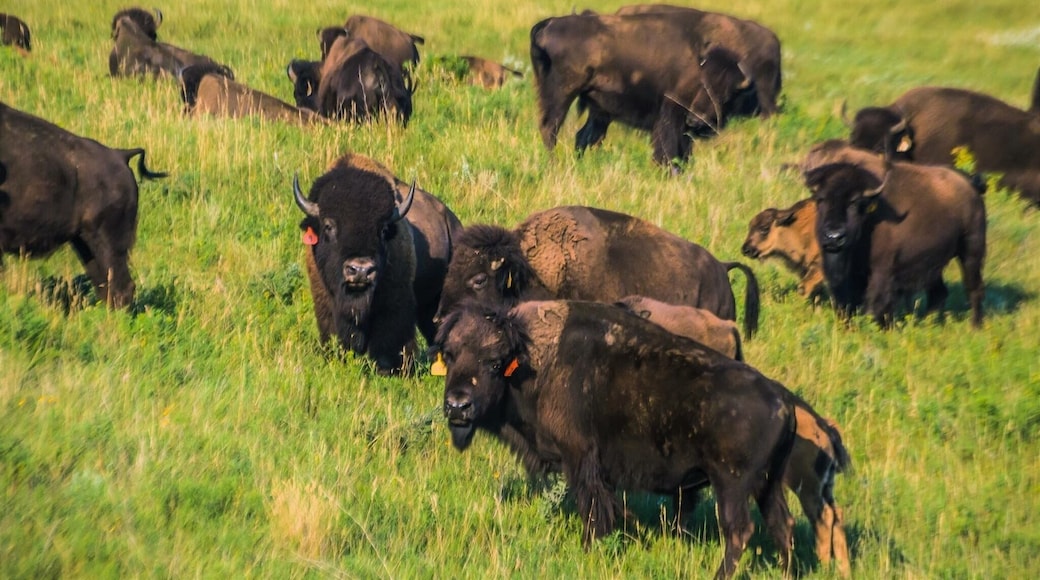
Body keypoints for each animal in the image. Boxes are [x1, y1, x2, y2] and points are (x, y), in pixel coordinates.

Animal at [530, 12, 754, 170]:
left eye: (728, 94)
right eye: (703, 84)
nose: (696, 121)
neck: (698, 65)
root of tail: (549, 24)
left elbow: (683, 154)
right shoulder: (670, 117)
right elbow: (667, 150)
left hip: (599, 110)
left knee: (583, 136)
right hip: (561, 95)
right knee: (550, 128)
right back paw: (553, 164)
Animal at [804, 149, 987, 327]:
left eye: (855, 201)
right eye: (820, 199)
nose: (834, 237)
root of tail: (970, 183)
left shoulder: (882, 271)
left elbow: (876, 304)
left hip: (971, 250)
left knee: (974, 287)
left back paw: (975, 326)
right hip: (934, 262)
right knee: (939, 292)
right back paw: (930, 322)